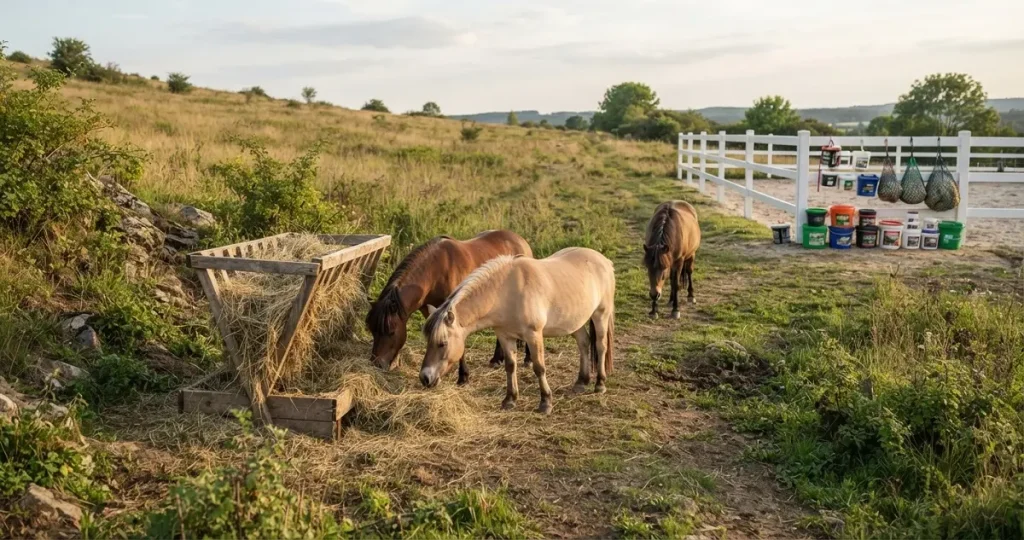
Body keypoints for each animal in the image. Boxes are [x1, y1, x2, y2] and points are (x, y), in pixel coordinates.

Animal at [365, 230, 533, 385]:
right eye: (372, 330)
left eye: (391, 332)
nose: (377, 364)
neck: (435, 271)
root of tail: (520, 240)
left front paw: (463, 376)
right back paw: (497, 359)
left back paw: (528, 359)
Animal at [419, 247, 615, 415]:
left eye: (442, 343)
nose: (425, 378)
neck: (506, 291)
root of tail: (604, 261)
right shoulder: (505, 336)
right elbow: (510, 366)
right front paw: (510, 400)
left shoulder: (533, 335)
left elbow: (539, 367)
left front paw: (545, 402)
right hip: (575, 322)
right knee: (584, 343)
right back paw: (581, 382)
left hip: (601, 315)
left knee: (600, 346)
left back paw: (600, 384)